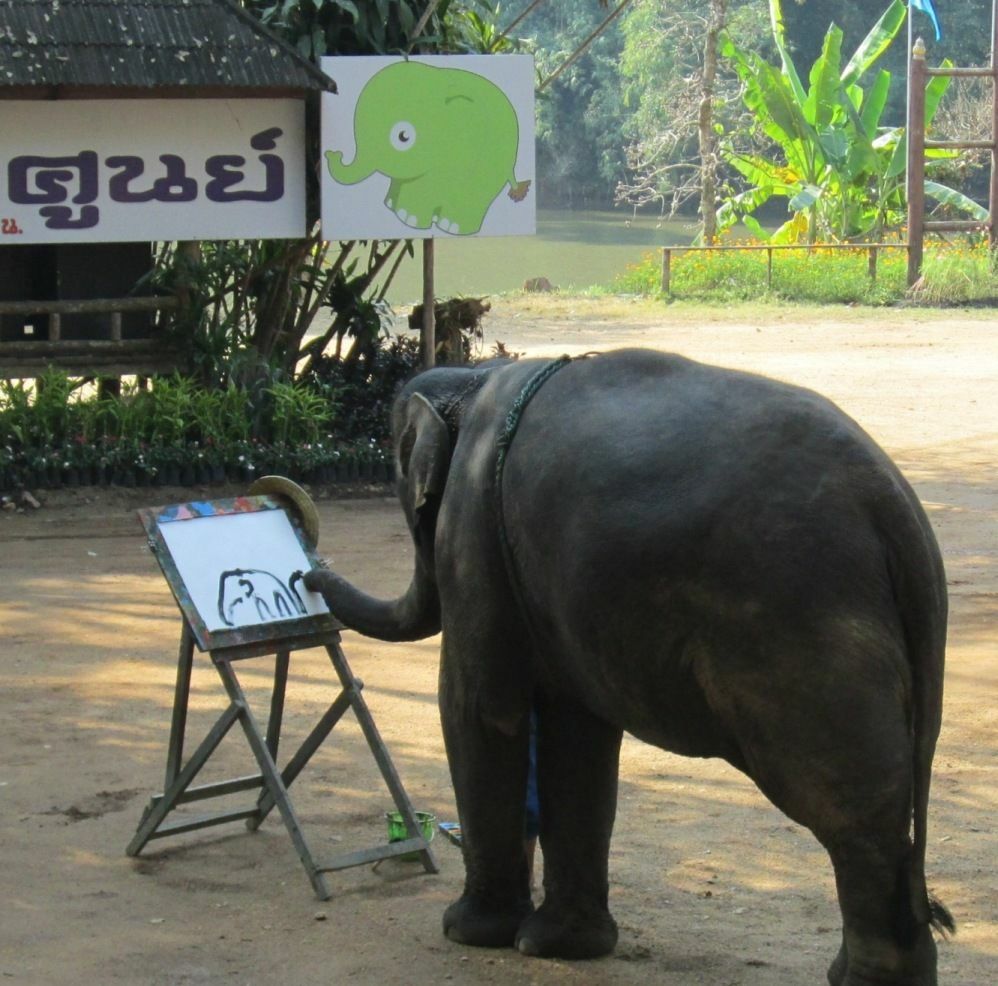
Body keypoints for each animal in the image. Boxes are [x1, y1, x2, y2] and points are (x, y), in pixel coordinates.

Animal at [303, 349, 954, 985]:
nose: (309, 571)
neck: (478, 375)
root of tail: (894, 509)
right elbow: (576, 731)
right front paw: (561, 947)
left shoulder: (471, 526)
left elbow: (483, 708)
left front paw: (468, 932)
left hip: (802, 618)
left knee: (851, 811)